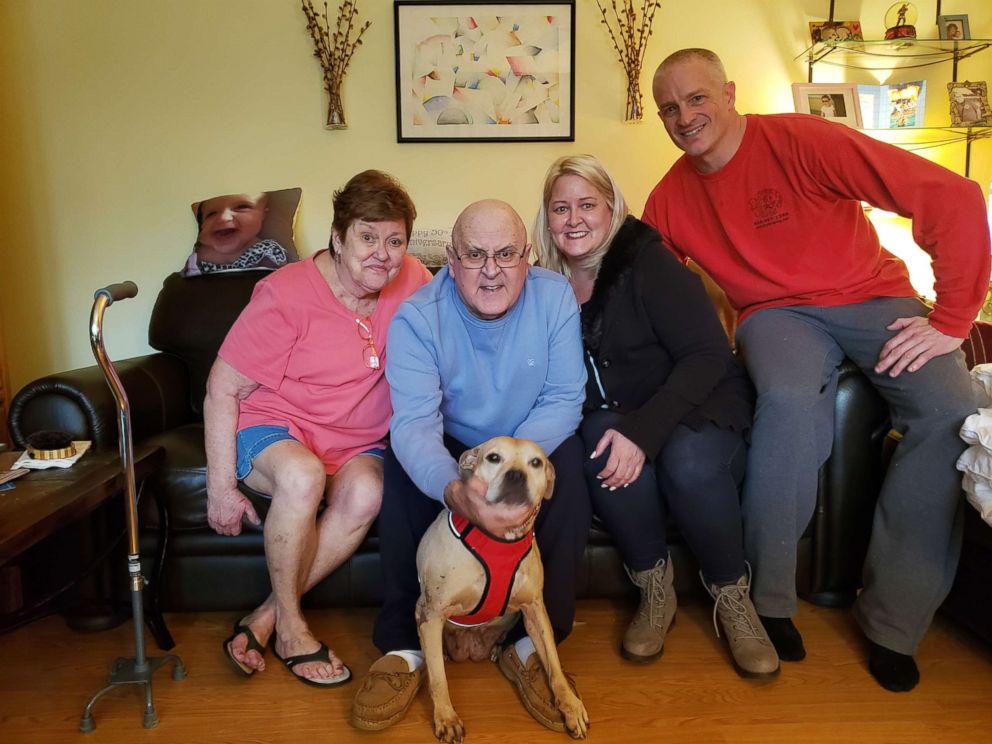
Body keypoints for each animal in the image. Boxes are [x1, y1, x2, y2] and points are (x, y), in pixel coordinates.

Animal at [412, 436, 588, 744]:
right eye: (493, 457)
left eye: (535, 462)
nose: (516, 475)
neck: (500, 539)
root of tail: (469, 651)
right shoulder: (430, 613)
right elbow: (438, 678)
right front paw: (446, 717)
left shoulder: (535, 609)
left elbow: (553, 664)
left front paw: (570, 705)